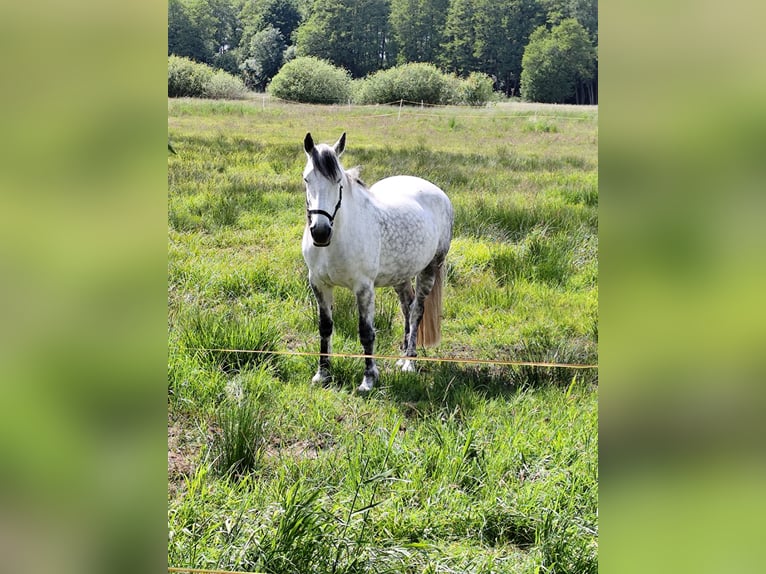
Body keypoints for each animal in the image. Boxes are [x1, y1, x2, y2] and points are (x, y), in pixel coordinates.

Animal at [301, 132, 454, 392]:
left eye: (338, 181)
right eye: (306, 179)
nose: (320, 232)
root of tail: (438, 193)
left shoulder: (364, 288)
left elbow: (366, 332)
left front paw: (369, 379)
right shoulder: (319, 284)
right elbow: (325, 327)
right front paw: (323, 374)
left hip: (430, 269)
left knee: (416, 310)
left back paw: (409, 362)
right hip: (401, 275)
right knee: (407, 306)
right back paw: (402, 356)